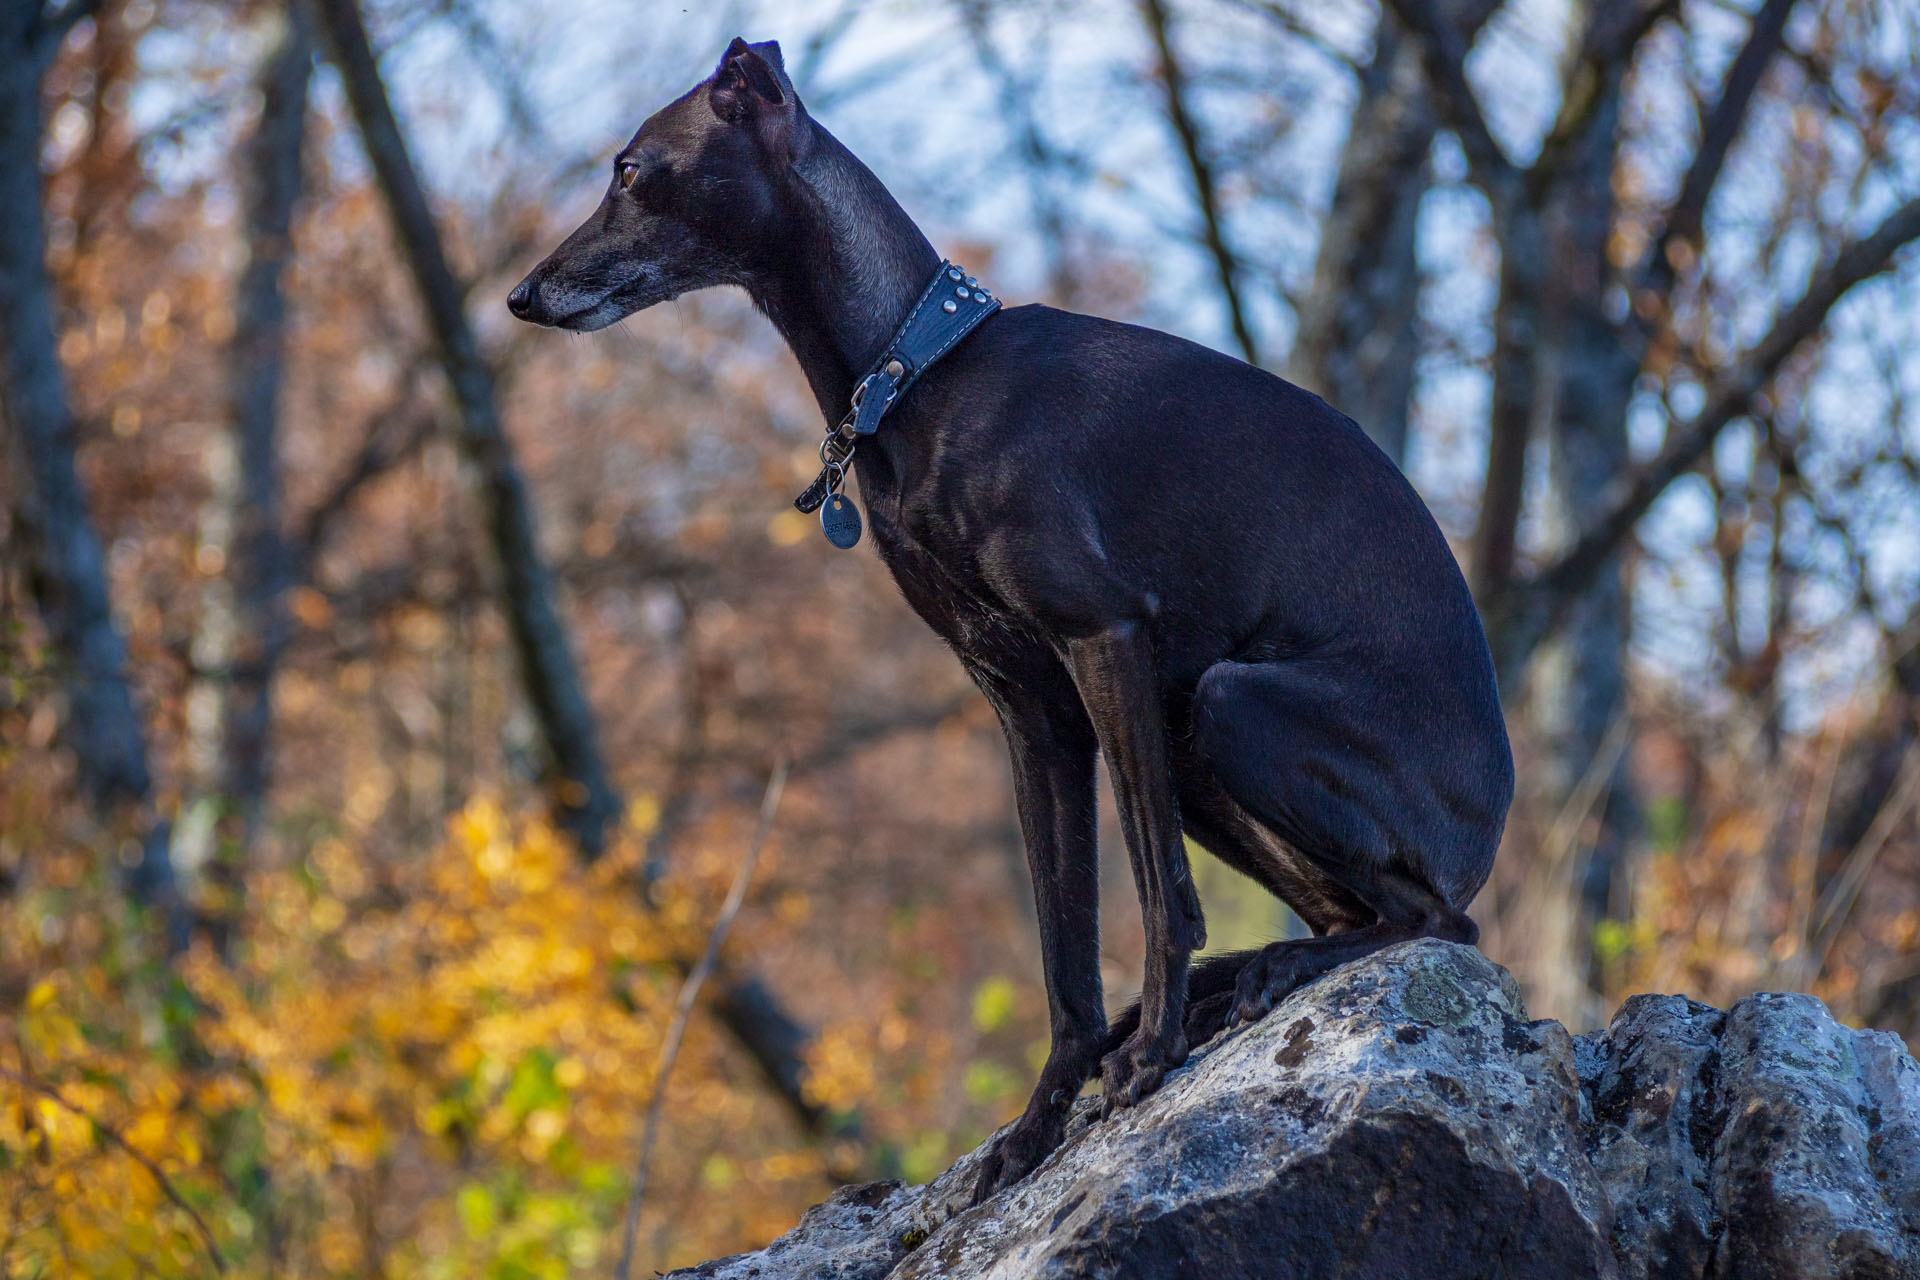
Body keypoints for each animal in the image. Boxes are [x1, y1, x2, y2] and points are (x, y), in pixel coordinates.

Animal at [510, 37, 1512, 1205]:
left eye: (631, 171)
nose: (521, 296)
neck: (919, 370)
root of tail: (1487, 826)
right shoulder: (1031, 709)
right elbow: (1061, 950)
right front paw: (1037, 1128)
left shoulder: (1102, 642)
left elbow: (1159, 891)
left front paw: (1149, 1055)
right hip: (1193, 740)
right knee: (1363, 913)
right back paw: (1239, 981)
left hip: (1227, 704)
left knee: (1435, 922)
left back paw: (1257, 976)